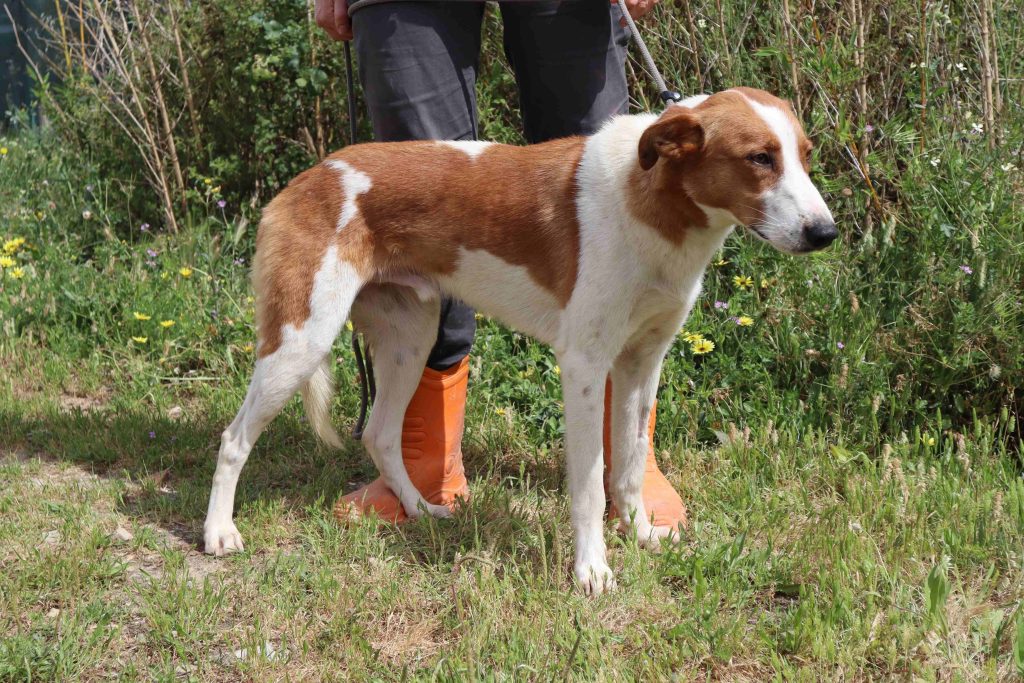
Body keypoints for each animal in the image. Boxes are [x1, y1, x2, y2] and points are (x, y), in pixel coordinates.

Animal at [203, 87, 837, 594]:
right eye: (760, 158)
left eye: (806, 157)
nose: (826, 232)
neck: (652, 196)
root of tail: (308, 178)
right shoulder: (584, 364)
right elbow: (589, 484)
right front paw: (592, 571)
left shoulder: (642, 361)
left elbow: (630, 464)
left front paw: (639, 535)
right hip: (300, 340)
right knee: (233, 438)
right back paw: (218, 532)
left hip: (410, 338)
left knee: (380, 434)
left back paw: (421, 509)